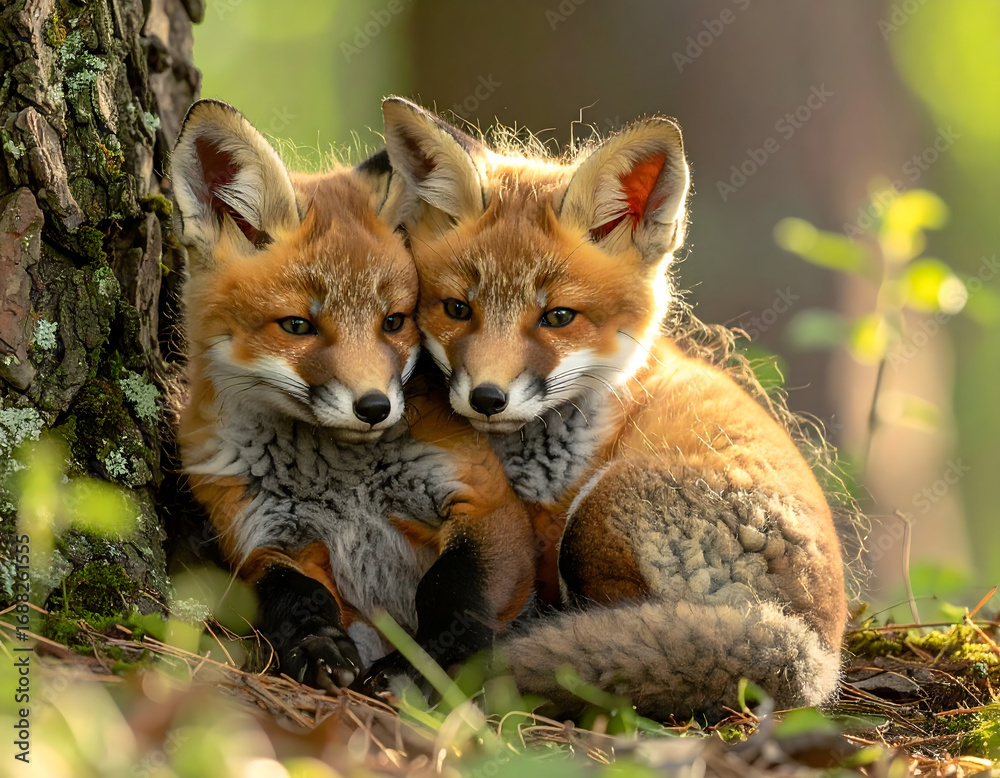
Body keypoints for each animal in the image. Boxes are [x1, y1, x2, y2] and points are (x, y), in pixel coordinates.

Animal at [169, 99, 536, 693]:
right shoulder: (257, 534)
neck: (341, 482)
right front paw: (316, 647)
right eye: (297, 325)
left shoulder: (483, 500)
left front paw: (427, 665)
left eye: (394, 322)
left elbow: (449, 589)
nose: (374, 409)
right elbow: (296, 596)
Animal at [379, 96, 848, 721]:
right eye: (456, 309)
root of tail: (815, 652)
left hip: (597, 515)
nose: (487, 398)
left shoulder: (543, 525)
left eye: (558, 317)